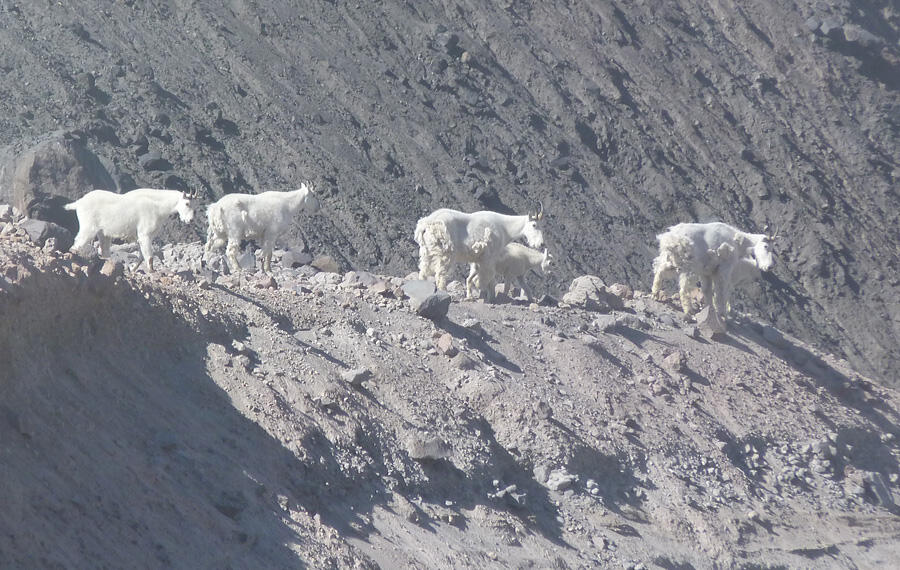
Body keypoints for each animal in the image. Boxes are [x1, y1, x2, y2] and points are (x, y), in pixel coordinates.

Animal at [64, 189, 195, 271]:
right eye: (187, 203)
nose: (190, 220)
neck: (158, 207)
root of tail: (79, 203)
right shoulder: (145, 234)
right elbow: (149, 255)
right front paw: (151, 270)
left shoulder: (144, 237)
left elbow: (141, 255)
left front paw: (133, 269)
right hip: (89, 226)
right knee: (79, 242)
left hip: (103, 232)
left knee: (104, 249)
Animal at [414, 204, 545, 302]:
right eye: (534, 225)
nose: (541, 244)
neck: (505, 229)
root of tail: (426, 223)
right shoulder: (489, 258)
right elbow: (488, 277)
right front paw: (485, 293)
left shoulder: (480, 259)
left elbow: (480, 277)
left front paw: (479, 296)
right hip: (445, 251)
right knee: (440, 273)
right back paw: (444, 293)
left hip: (426, 250)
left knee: (423, 270)